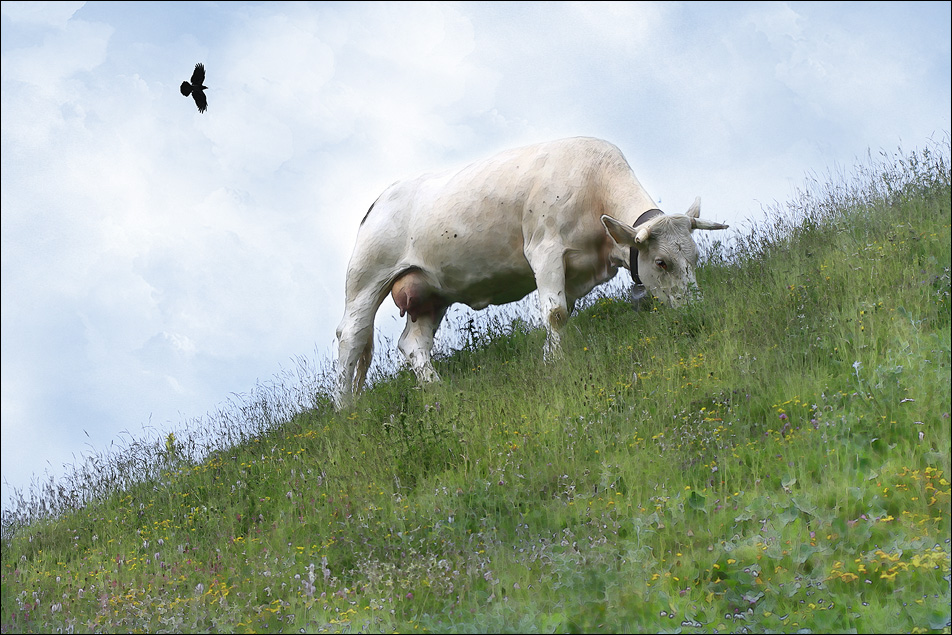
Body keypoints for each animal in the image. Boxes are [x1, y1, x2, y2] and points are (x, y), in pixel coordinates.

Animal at [334, 137, 728, 410]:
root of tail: (381, 198)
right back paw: (345, 408)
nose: (696, 310)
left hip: (429, 294)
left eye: (695, 256)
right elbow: (555, 313)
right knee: (351, 337)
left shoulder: (573, 272)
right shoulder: (545, 249)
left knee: (413, 344)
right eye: (661, 262)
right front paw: (554, 364)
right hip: (367, 279)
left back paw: (438, 389)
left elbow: (562, 312)